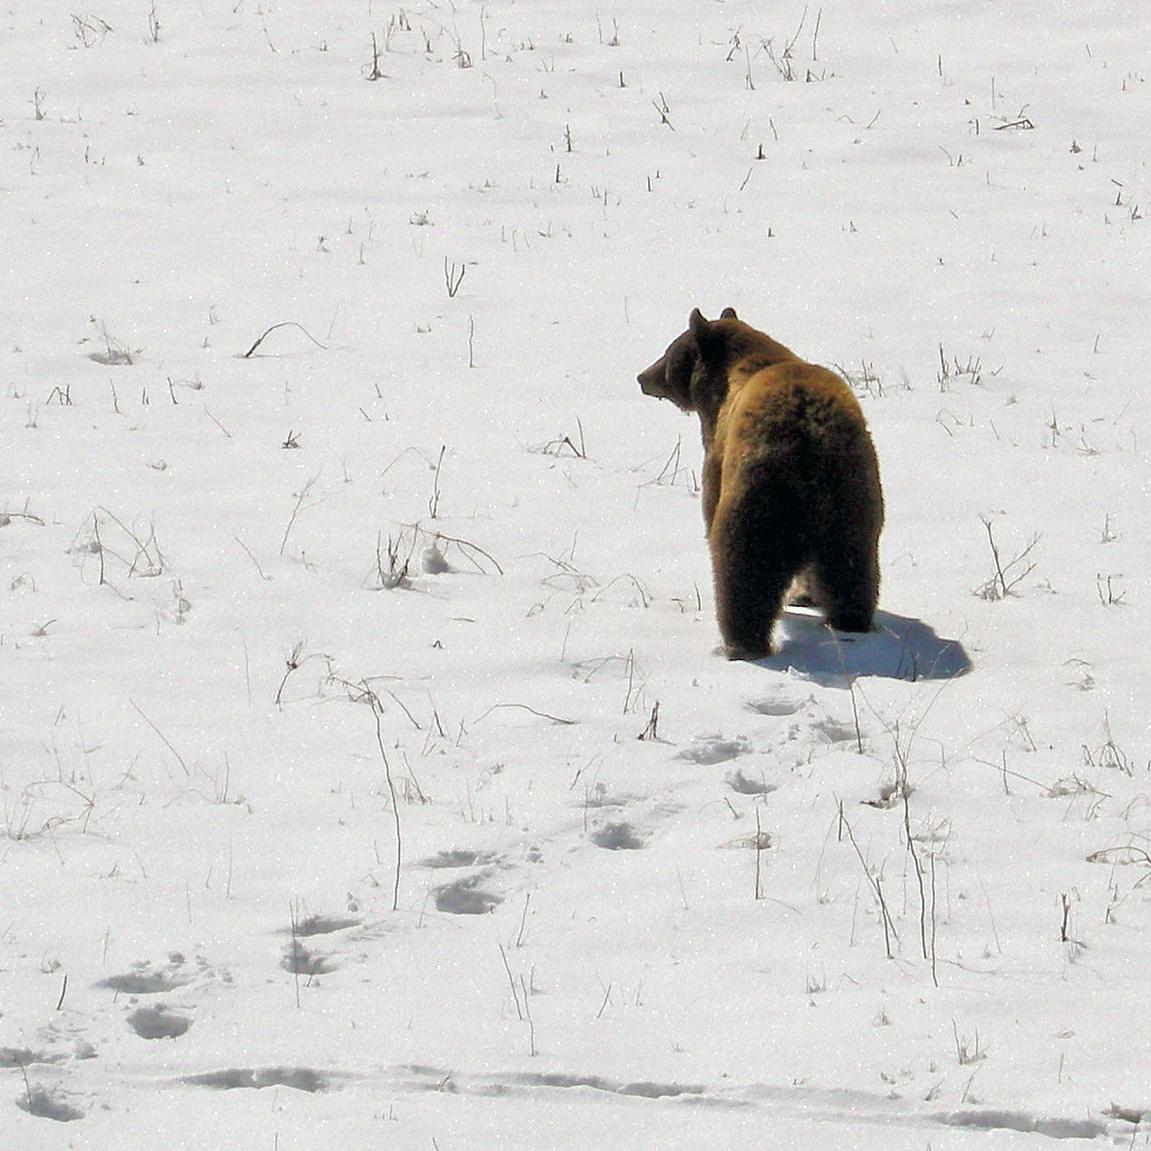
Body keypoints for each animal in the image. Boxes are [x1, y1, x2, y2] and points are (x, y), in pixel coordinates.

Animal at [637, 307, 883, 660]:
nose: (643, 377)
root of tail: (808, 438)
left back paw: (741, 643)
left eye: (668, 351)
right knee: (851, 571)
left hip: (758, 495)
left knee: (743, 571)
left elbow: (710, 501)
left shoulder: (719, 451)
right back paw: (849, 622)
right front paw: (805, 594)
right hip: (851, 499)